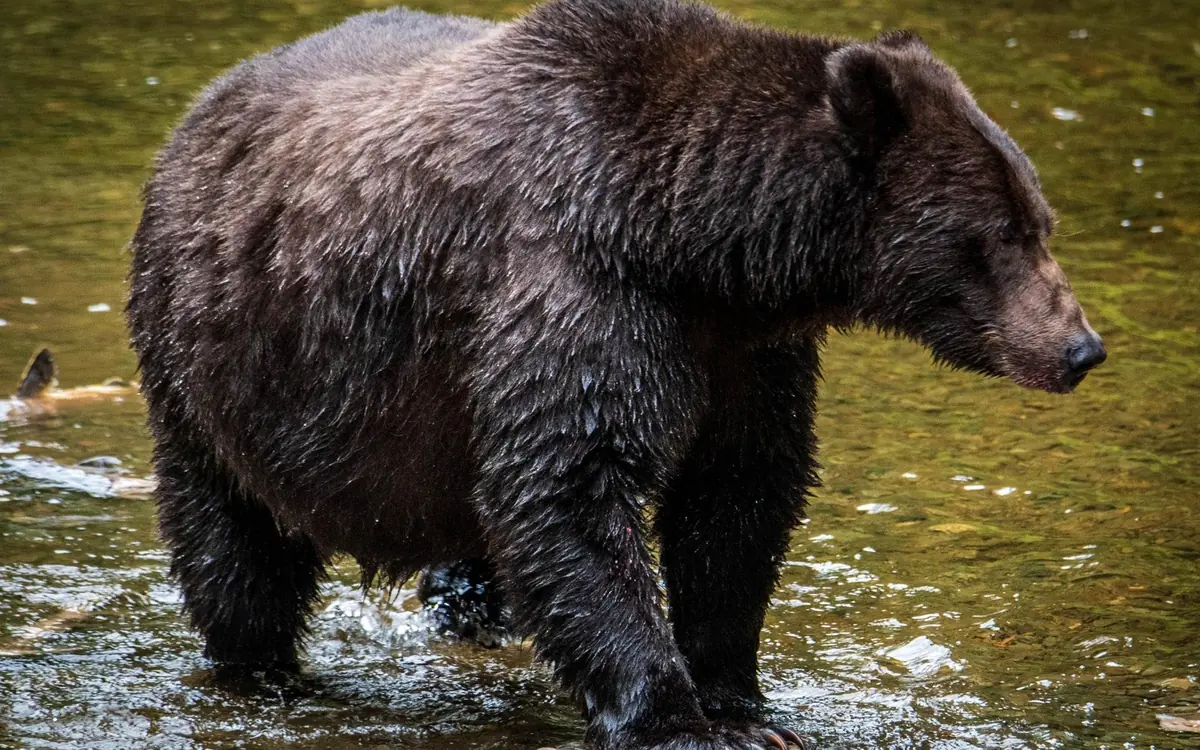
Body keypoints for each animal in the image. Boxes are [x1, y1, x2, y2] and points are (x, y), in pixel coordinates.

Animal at [126, 0, 1106, 748]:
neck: (695, 244)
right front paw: (679, 720)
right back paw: (262, 672)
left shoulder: (745, 354)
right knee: (234, 547)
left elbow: (737, 498)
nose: (1081, 348)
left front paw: (740, 697)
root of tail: (200, 110)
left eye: (1040, 217)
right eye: (1004, 231)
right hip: (214, 366)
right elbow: (573, 488)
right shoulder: (582, 295)